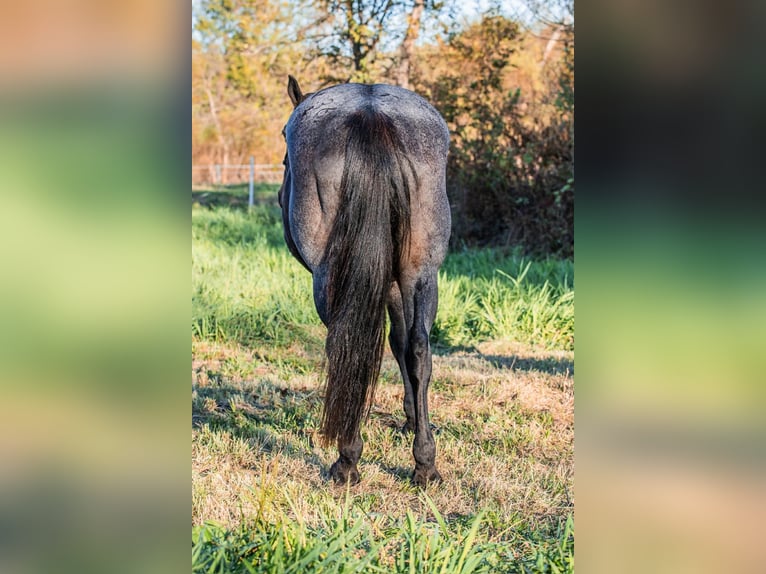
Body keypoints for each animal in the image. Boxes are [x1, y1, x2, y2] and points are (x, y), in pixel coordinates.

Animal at [278, 76, 451, 486]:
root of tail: (370, 114)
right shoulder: (396, 284)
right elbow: (403, 344)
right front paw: (413, 423)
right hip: (422, 273)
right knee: (420, 349)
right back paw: (426, 466)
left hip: (330, 278)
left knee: (344, 347)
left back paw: (346, 460)